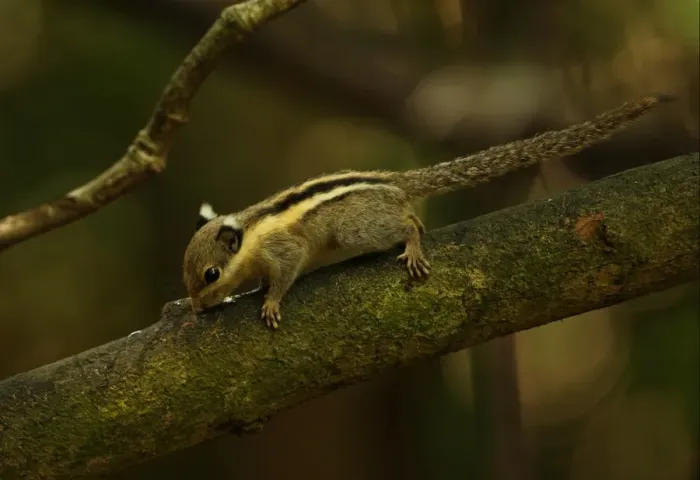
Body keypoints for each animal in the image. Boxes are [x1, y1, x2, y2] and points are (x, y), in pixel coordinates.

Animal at [183, 93, 672, 329]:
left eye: (210, 275)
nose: (196, 307)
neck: (248, 235)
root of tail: (396, 182)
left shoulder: (284, 249)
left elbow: (286, 272)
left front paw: (270, 300)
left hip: (358, 229)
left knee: (408, 221)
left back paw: (414, 244)